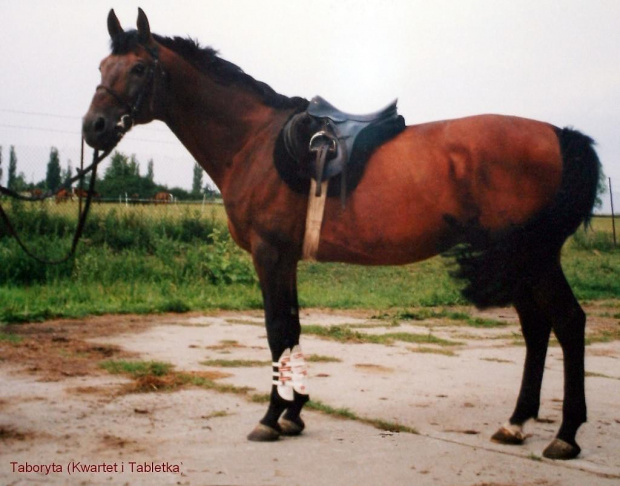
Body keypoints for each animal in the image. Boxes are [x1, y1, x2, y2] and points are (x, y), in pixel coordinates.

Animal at [82, 9, 600, 462]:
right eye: (103, 67)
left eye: (140, 68)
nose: (94, 127)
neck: (253, 142)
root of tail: (559, 135)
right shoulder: (286, 258)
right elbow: (292, 329)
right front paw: (293, 413)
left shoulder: (269, 254)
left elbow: (276, 331)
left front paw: (271, 417)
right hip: (520, 260)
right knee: (537, 329)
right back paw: (516, 423)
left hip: (535, 256)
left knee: (568, 323)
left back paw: (566, 434)